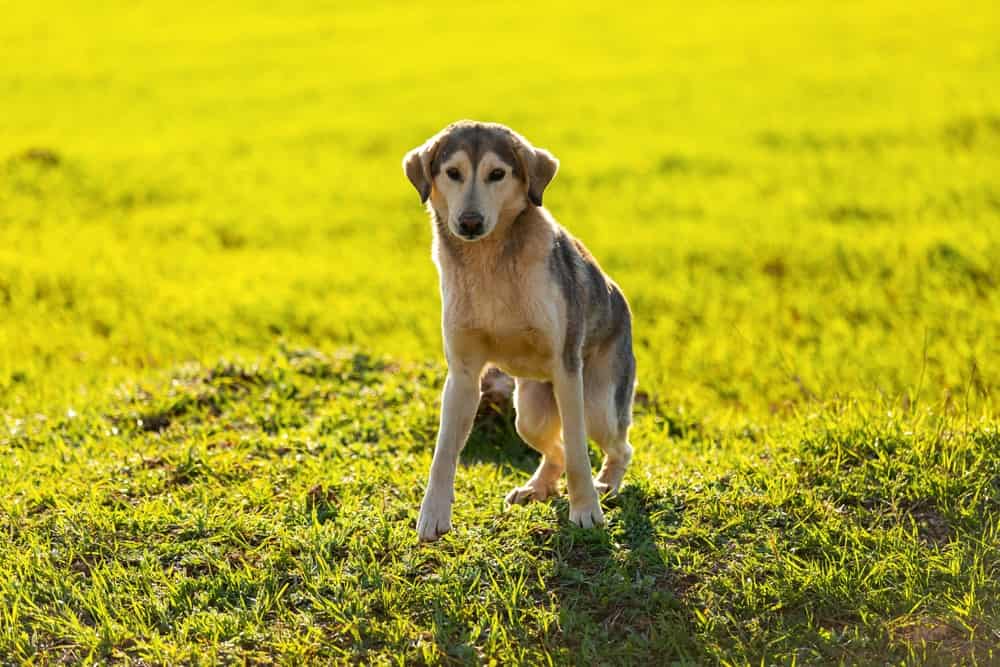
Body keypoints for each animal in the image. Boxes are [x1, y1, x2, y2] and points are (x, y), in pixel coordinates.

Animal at [402, 121, 636, 544]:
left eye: (497, 174)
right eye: (453, 172)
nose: (470, 222)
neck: (490, 265)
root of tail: (620, 297)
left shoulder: (566, 370)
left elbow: (578, 452)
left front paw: (586, 512)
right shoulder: (463, 376)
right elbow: (443, 452)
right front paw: (433, 516)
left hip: (597, 405)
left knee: (616, 447)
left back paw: (606, 485)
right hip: (529, 412)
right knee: (553, 449)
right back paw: (536, 487)